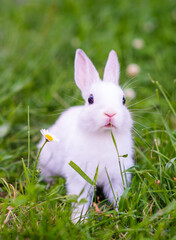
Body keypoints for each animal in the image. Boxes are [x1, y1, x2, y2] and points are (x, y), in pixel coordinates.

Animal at [37, 48, 133, 223]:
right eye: (90, 99)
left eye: (123, 100)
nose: (110, 113)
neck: (103, 135)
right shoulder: (79, 178)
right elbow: (79, 201)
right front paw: (78, 222)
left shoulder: (116, 178)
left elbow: (116, 195)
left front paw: (120, 213)